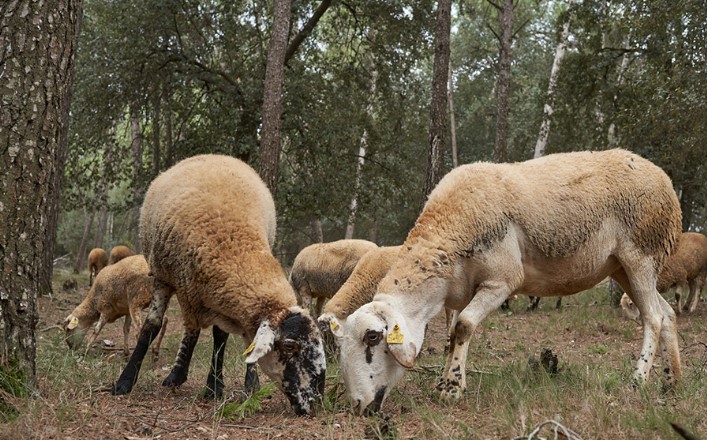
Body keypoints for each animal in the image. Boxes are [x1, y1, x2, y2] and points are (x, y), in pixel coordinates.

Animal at [110, 155, 326, 416]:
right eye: (289, 346)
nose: (316, 401)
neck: (236, 245)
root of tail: (217, 156)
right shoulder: (169, 280)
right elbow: (155, 326)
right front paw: (126, 381)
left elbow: (222, 337)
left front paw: (214, 386)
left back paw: (247, 384)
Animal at [340, 150, 684, 414]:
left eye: (373, 337)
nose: (358, 407)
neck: (447, 227)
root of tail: (665, 182)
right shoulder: (463, 287)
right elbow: (451, 334)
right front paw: (444, 380)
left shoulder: (501, 281)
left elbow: (463, 326)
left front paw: (451, 388)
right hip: (622, 268)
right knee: (667, 314)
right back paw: (671, 382)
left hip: (641, 255)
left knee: (653, 317)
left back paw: (638, 381)